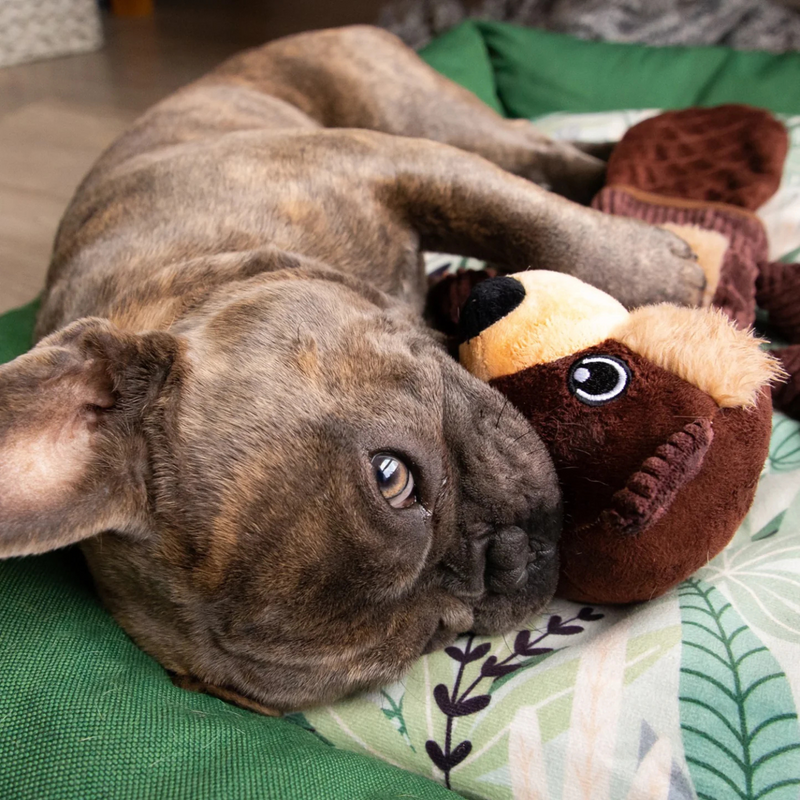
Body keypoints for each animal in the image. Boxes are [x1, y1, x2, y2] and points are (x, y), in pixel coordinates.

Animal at [0, 26, 700, 712]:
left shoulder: (383, 162)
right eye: (433, 637)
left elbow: (524, 219)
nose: (512, 557)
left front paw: (657, 274)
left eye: (391, 475)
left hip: (422, 114)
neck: (193, 268)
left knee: (535, 152)